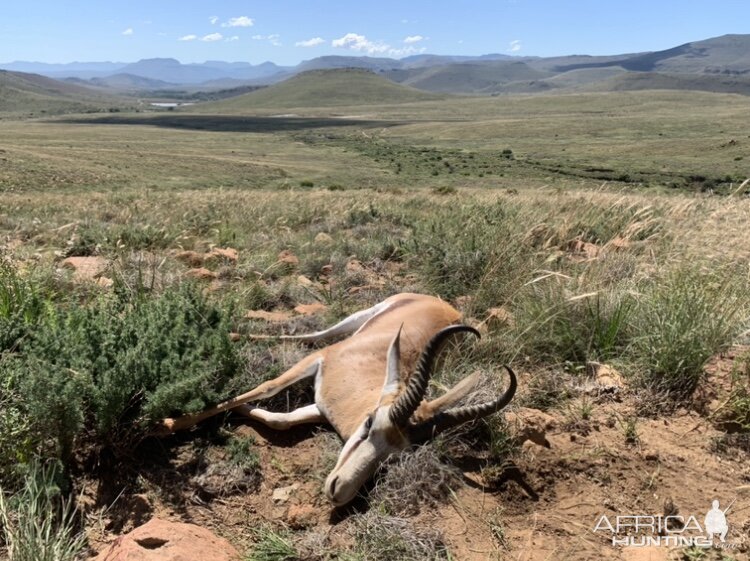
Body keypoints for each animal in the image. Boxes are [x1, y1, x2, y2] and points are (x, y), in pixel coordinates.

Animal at [162, 290, 516, 506]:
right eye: (370, 423)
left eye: (396, 457)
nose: (339, 491)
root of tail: (445, 305)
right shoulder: (319, 360)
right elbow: (268, 387)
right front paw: (168, 423)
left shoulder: (321, 407)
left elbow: (280, 420)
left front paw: (243, 411)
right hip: (355, 318)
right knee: (313, 334)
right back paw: (232, 333)